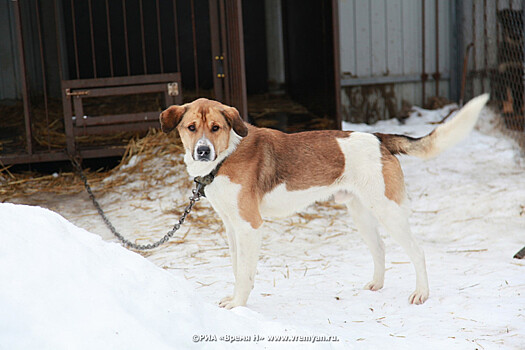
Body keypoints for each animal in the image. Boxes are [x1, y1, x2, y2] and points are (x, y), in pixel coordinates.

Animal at [158, 93, 490, 308]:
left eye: (216, 128)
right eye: (191, 128)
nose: (202, 151)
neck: (226, 155)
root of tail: (379, 138)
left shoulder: (250, 226)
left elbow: (245, 273)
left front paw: (238, 304)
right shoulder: (231, 227)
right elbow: (237, 268)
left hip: (389, 211)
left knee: (417, 252)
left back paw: (421, 293)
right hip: (361, 213)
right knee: (380, 249)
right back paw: (377, 284)